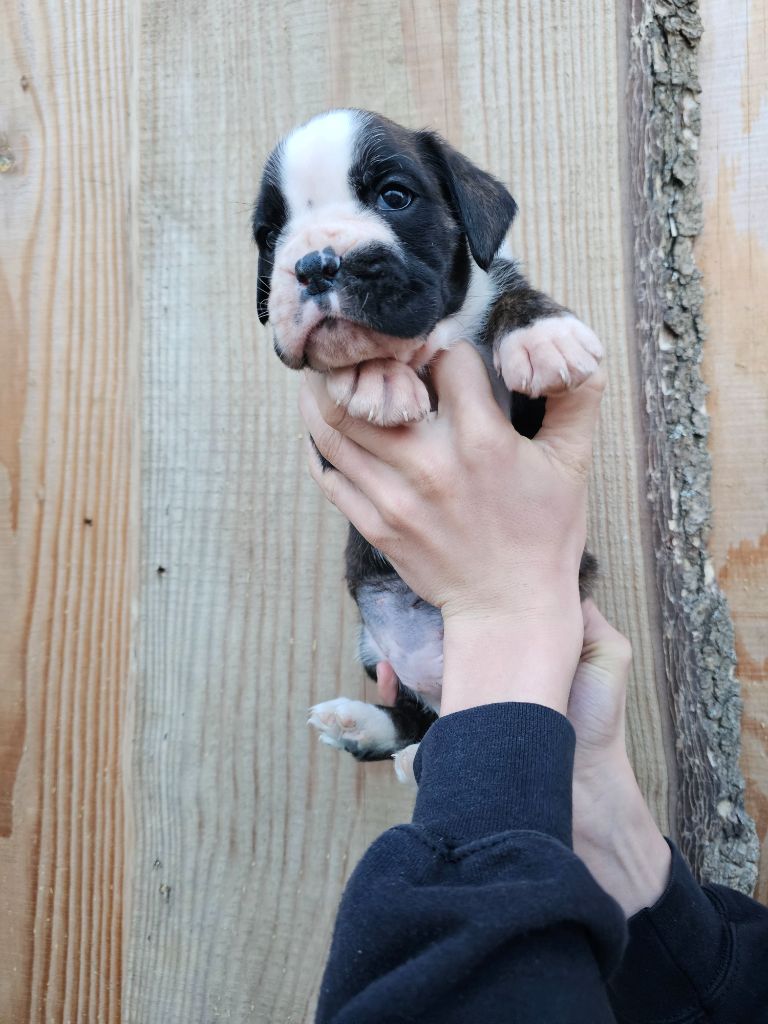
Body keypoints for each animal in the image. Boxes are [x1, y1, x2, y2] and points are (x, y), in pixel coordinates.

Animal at [253, 109, 601, 780]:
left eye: (395, 197)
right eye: (270, 232)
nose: (314, 263)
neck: (433, 338)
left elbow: (510, 294)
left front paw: (544, 334)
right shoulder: (324, 441)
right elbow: (351, 361)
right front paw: (374, 376)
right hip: (374, 651)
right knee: (415, 716)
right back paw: (368, 729)